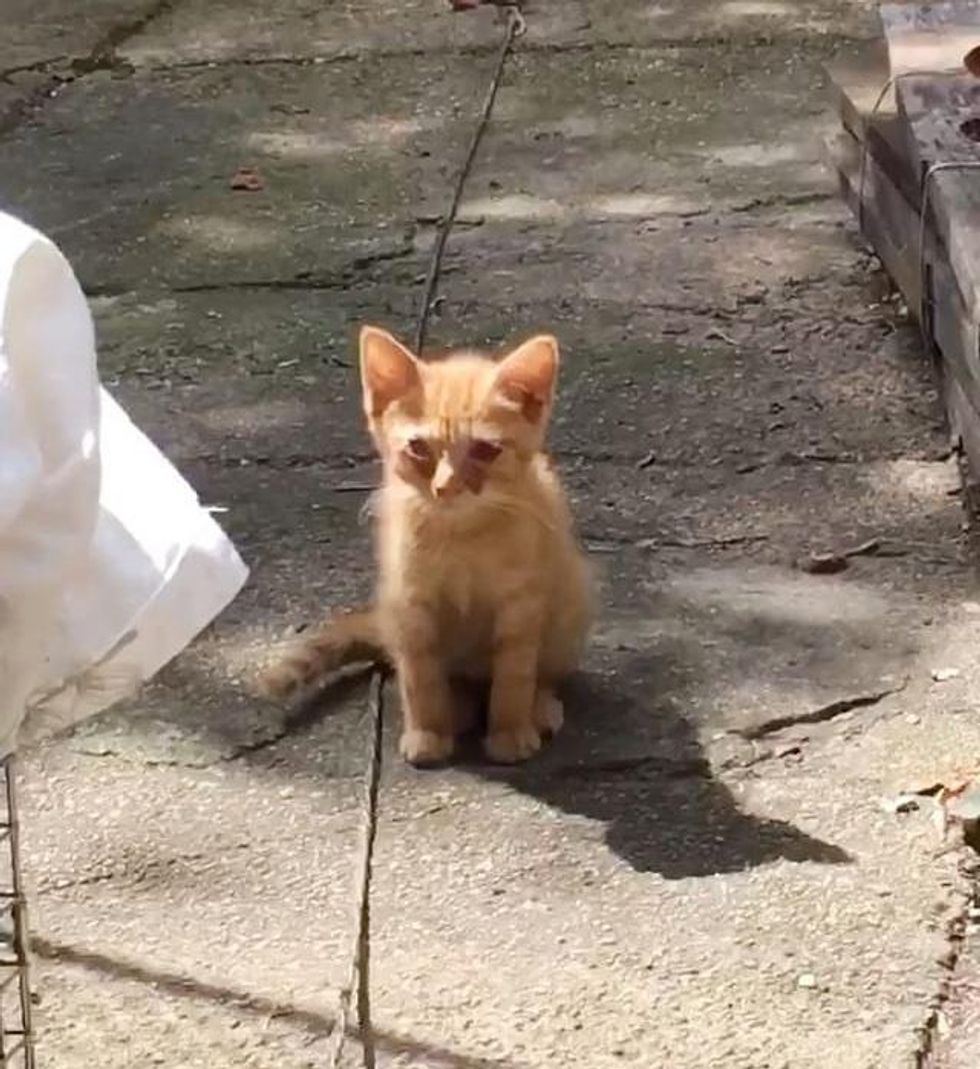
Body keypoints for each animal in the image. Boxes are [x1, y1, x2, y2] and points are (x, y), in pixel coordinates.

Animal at [259, 320, 594, 765]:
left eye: (485, 450)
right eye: (419, 448)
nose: (446, 486)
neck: (462, 538)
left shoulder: (522, 602)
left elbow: (516, 672)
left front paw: (509, 731)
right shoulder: (410, 602)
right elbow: (420, 676)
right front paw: (429, 733)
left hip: (571, 601)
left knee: (544, 672)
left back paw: (538, 706)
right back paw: (460, 708)